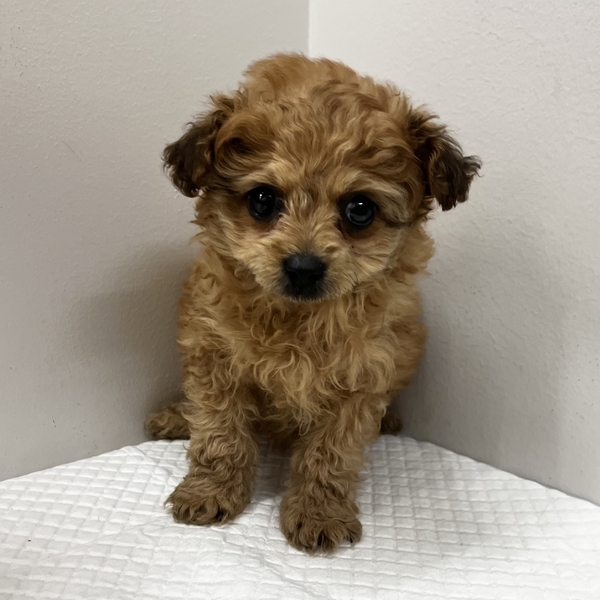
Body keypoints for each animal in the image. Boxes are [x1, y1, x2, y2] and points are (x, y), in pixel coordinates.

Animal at [146, 53, 480, 554]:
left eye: (359, 209)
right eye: (263, 199)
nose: (303, 267)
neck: (298, 320)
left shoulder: (362, 381)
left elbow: (331, 454)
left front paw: (319, 513)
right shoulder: (214, 358)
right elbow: (219, 432)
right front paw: (211, 491)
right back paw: (173, 416)